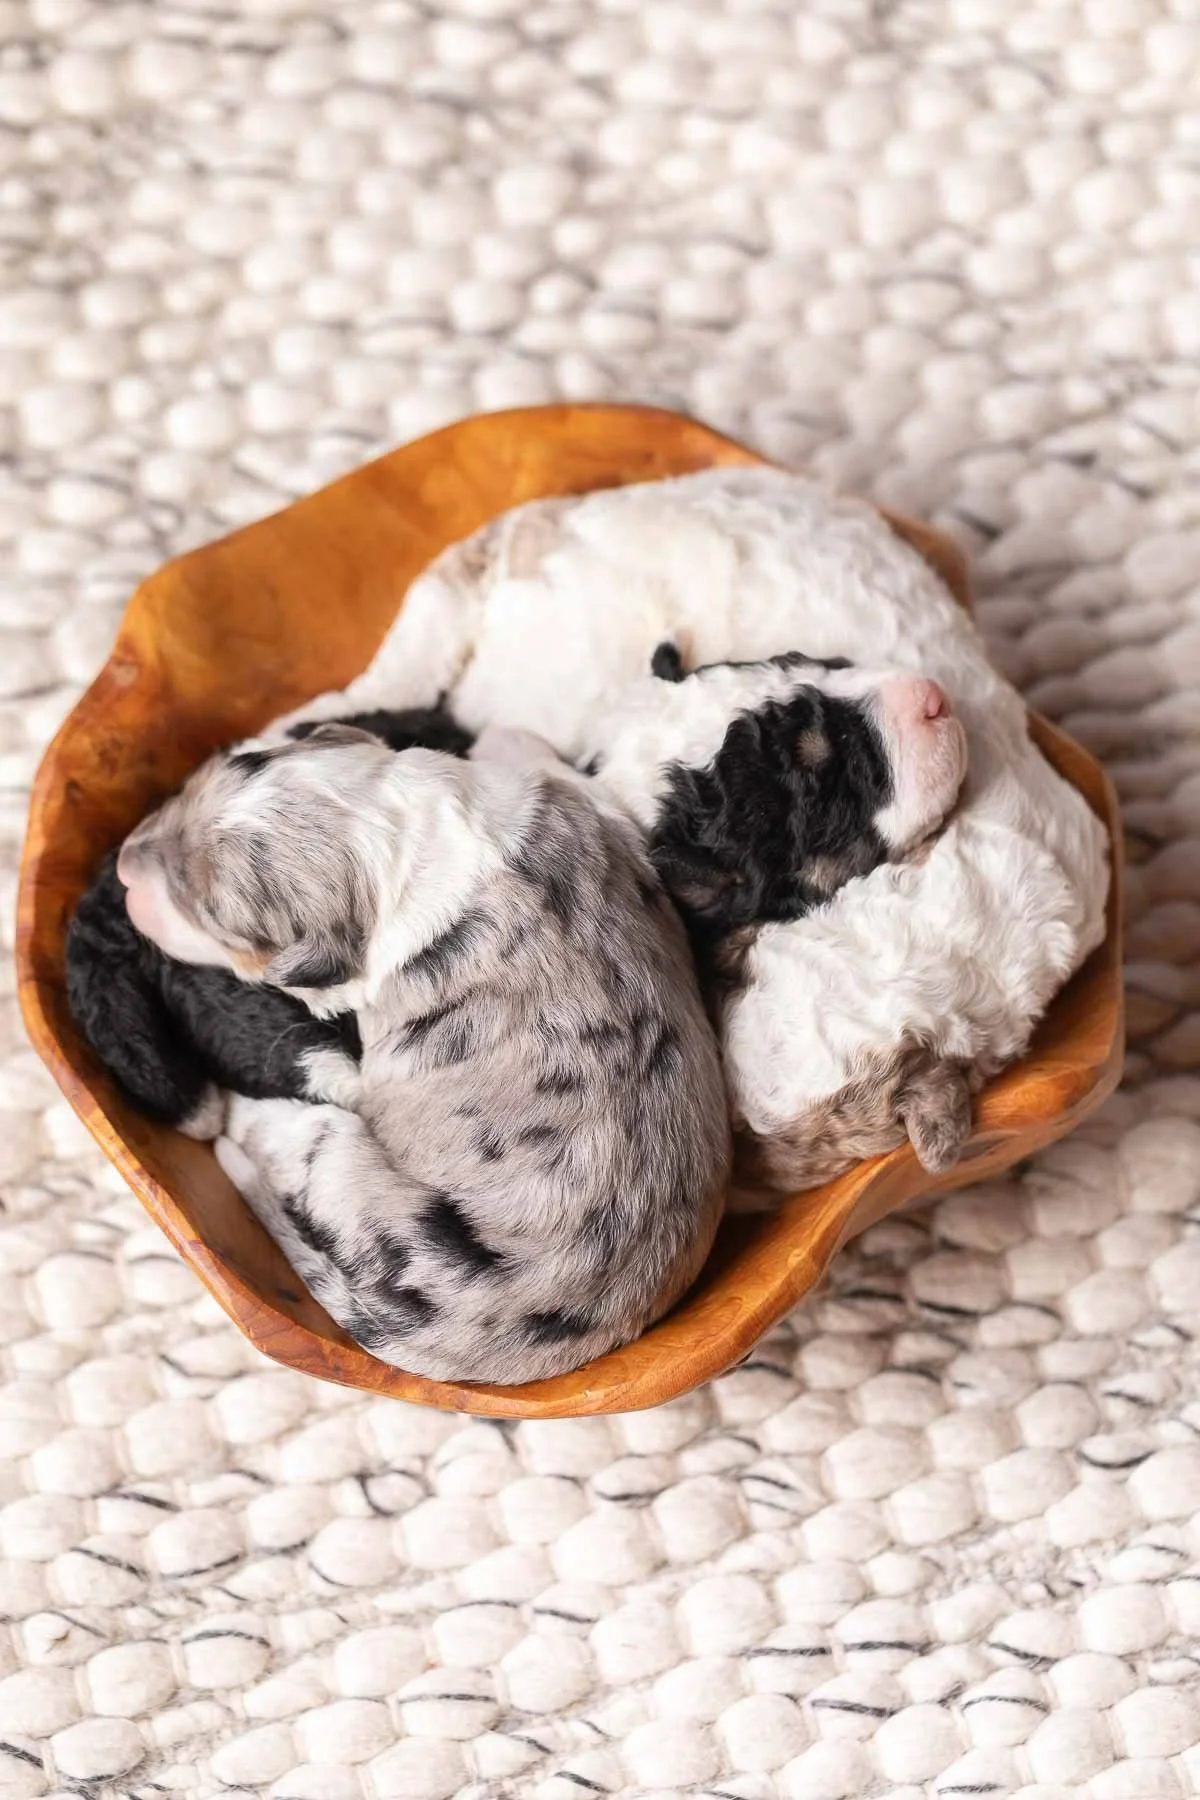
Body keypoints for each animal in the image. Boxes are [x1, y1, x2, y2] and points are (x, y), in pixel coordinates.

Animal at [115, 726, 731, 1384]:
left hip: (330, 1149)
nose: (123, 867)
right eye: (220, 769)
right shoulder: (589, 812)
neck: (391, 833)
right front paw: (502, 738)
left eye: (211, 914)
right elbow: (552, 772)